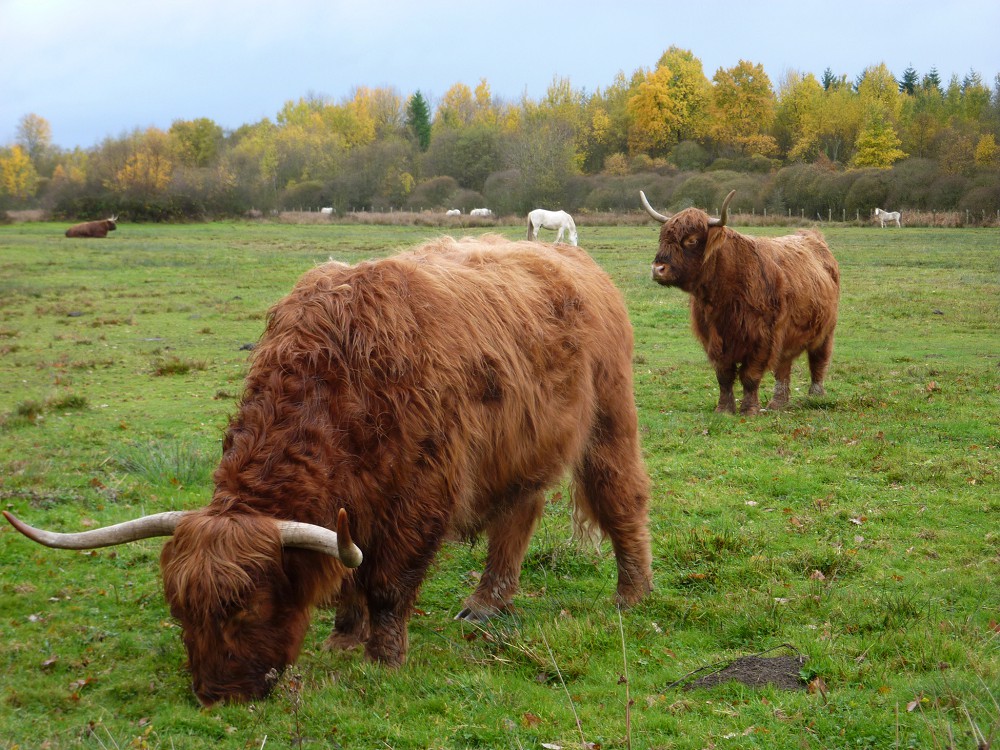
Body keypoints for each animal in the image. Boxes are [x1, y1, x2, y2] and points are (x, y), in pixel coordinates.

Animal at [640, 191, 836, 418]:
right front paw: (724, 409)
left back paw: (816, 396)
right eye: (662, 238)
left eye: (692, 240)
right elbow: (724, 376)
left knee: (819, 360)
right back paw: (778, 403)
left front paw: (749, 409)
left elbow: (750, 375)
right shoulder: (714, 339)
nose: (657, 269)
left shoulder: (763, 337)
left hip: (826, 330)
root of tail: (812, 235)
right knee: (783, 366)